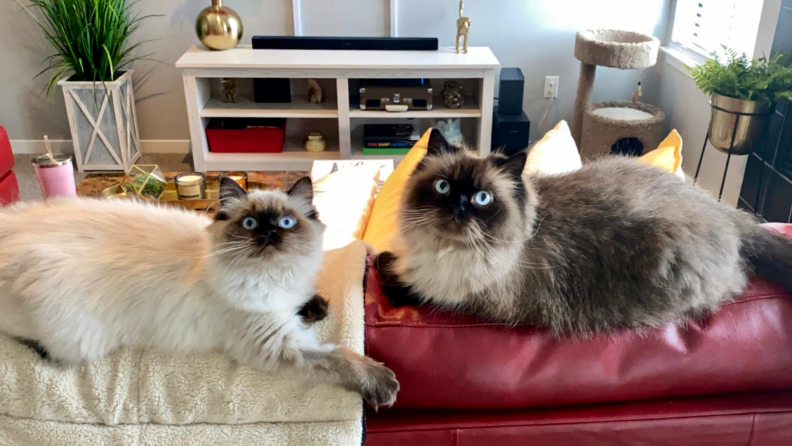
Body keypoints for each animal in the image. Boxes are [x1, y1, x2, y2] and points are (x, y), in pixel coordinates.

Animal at [0, 177, 400, 408]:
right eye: (250, 223)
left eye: (286, 222)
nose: (269, 233)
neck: (272, 276)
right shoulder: (275, 341)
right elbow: (338, 357)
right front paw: (383, 383)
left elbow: (309, 304)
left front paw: (312, 306)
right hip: (77, 338)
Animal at [376, 129, 792, 334]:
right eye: (443, 187)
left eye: (482, 198)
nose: (458, 209)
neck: (443, 250)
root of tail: (721, 209)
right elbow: (389, 259)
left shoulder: (462, 297)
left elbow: (405, 285)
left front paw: (386, 273)